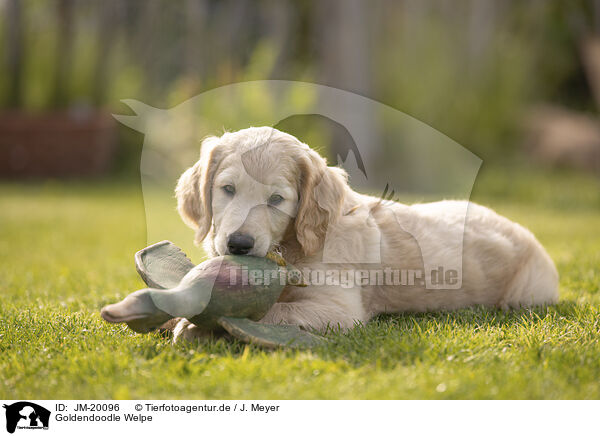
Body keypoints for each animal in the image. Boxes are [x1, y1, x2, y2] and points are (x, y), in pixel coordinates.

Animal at [172, 126, 556, 340]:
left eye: (277, 199)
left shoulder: (340, 309)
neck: (293, 250)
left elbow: (275, 311)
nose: (238, 244)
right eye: (227, 189)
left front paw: (194, 325)